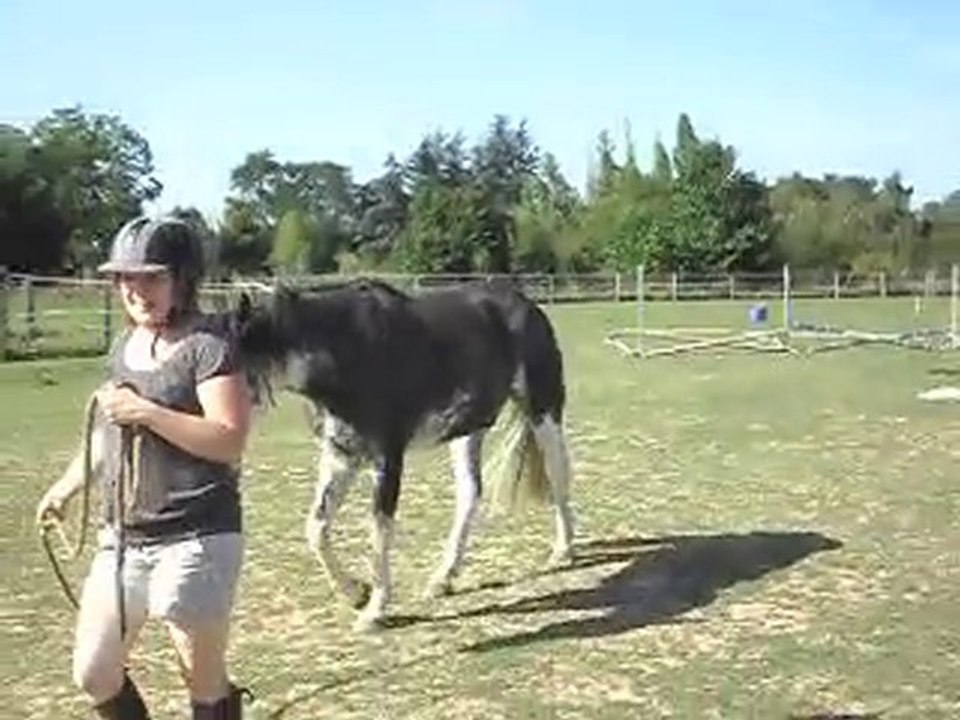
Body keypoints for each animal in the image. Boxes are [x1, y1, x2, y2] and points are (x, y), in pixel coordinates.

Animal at [229, 277, 577, 632]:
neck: (347, 349)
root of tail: (525, 302)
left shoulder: (387, 459)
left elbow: (379, 530)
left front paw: (374, 610)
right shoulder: (341, 455)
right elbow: (316, 528)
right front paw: (356, 593)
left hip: (543, 411)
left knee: (558, 474)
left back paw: (562, 551)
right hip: (467, 430)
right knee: (470, 493)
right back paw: (443, 578)